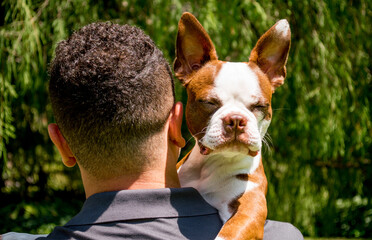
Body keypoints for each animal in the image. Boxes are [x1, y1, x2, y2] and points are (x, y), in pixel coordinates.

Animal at [174, 13, 290, 240]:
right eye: (208, 102)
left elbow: (229, 233)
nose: (236, 119)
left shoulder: (250, 208)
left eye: (260, 106)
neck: (210, 165)